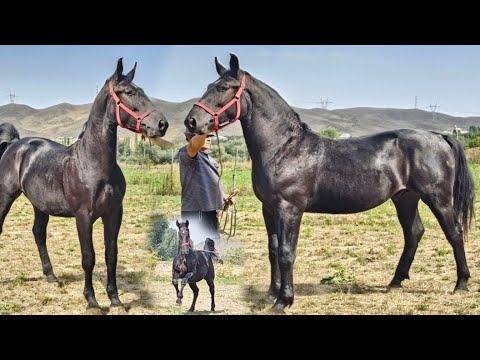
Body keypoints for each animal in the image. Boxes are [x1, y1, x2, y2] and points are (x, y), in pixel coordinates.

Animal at [0, 57, 169, 314]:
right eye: (129, 92)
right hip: (6, 196)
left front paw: (116, 300)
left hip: (40, 205)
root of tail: (16, 144)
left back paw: (52, 277)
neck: (93, 163)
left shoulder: (114, 214)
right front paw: (92, 301)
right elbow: (88, 257)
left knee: (39, 233)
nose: (161, 124)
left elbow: (111, 255)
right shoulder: (83, 216)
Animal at [186, 53, 474, 312]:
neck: (285, 148)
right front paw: (271, 294)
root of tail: (438, 136)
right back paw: (395, 282)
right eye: (209, 86)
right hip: (405, 197)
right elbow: (273, 249)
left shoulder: (289, 209)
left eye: (223, 88)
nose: (191, 122)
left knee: (454, 232)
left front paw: (283, 301)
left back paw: (461, 284)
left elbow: (287, 252)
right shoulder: (269, 209)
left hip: (437, 198)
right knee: (414, 232)